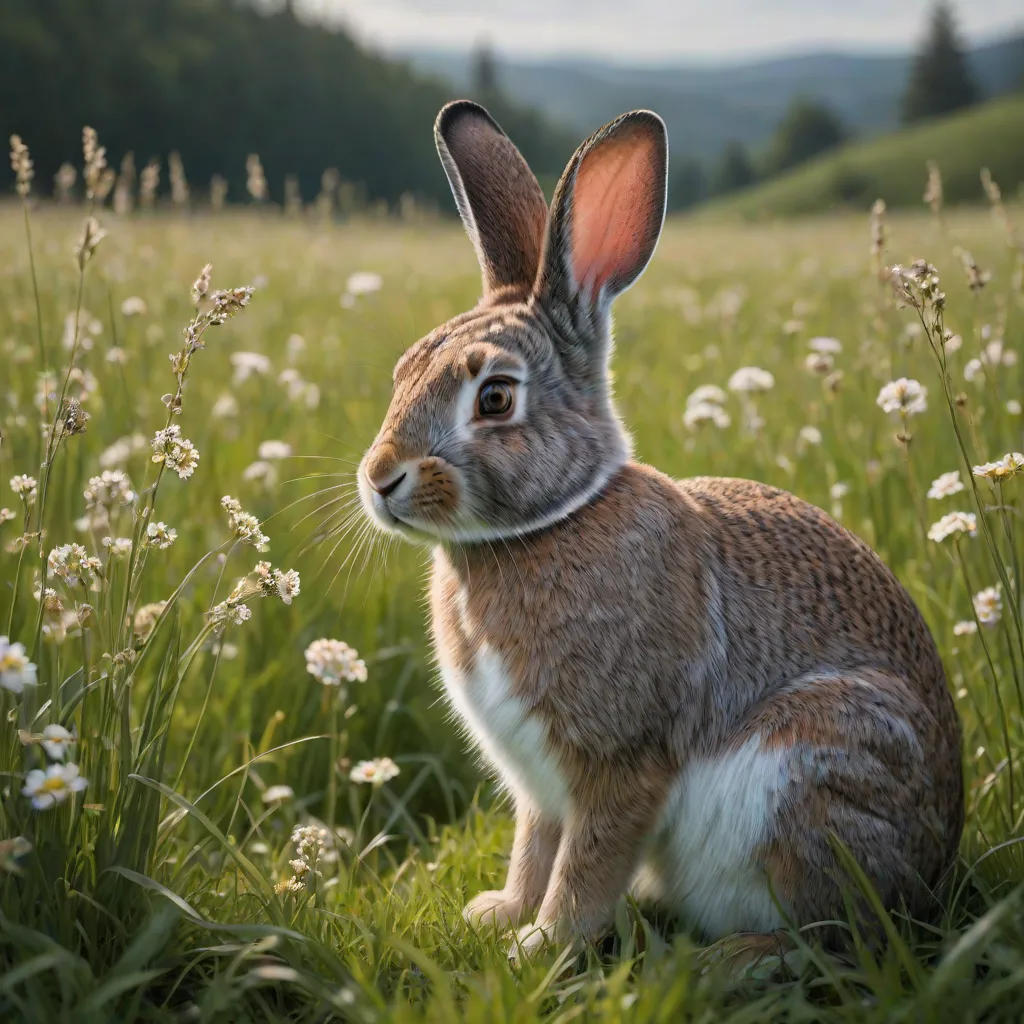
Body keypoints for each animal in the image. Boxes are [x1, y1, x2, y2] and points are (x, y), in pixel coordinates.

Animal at [357, 100, 964, 959]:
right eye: (405, 371)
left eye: (496, 398)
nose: (381, 479)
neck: (554, 520)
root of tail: (935, 870)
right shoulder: (540, 788)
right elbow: (535, 848)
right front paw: (502, 915)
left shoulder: (621, 761)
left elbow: (588, 864)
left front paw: (542, 946)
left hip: (817, 770)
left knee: (839, 931)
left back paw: (735, 962)